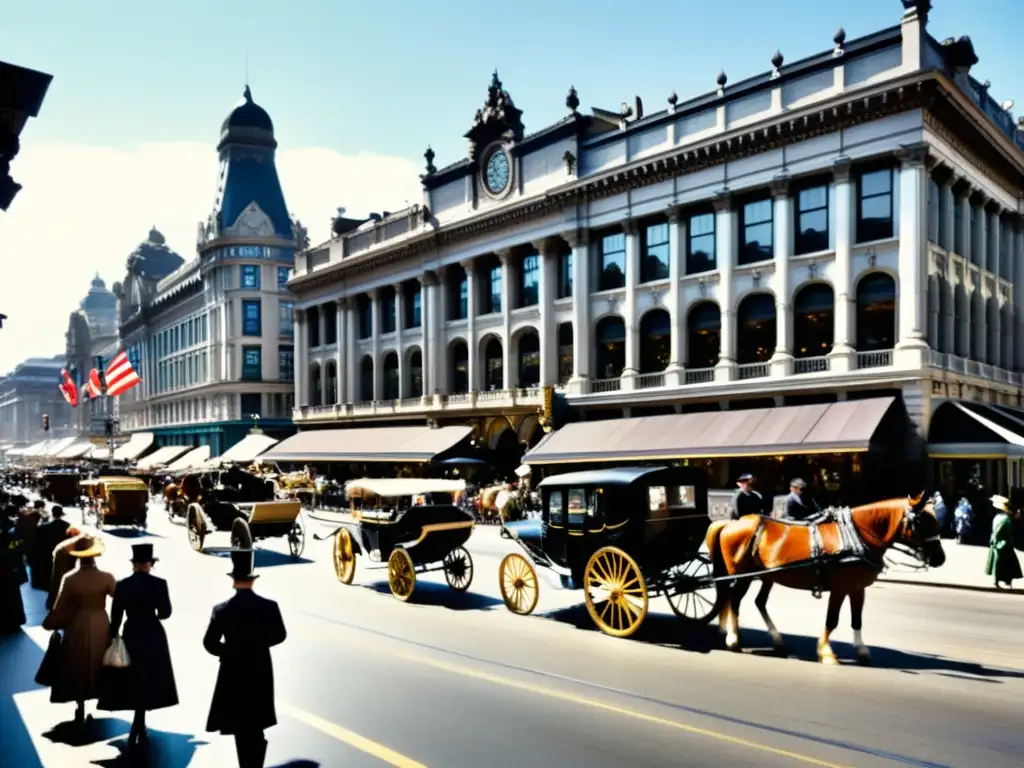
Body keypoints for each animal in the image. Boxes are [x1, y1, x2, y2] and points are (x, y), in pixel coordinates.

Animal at [708, 495, 937, 663]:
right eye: (920, 522)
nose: (940, 558)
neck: (856, 535)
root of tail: (732, 522)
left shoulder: (857, 588)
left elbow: (857, 620)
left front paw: (862, 650)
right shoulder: (839, 588)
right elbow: (832, 620)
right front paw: (826, 651)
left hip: (768, 576)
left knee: (758, 602)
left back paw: (776, 640)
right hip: (740, 575)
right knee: (734, 600)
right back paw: (733, 639)